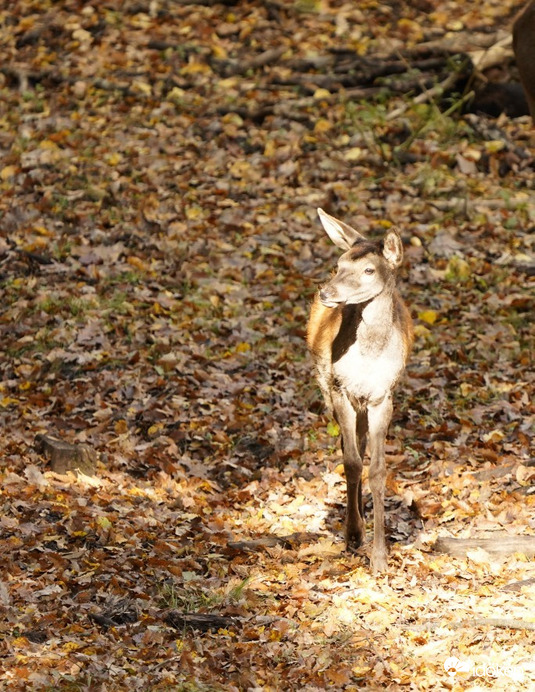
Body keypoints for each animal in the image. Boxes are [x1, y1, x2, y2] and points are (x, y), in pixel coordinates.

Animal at [306, 209, 414, 572]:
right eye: (339, 264)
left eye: (369, 270)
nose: (326, 292)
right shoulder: (340, 387)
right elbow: (351, 462)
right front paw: (353, 535)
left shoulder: (383, 395)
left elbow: (378, 470)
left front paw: (380, 557)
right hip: (328, 387)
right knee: (348, 446)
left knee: (363, 442)